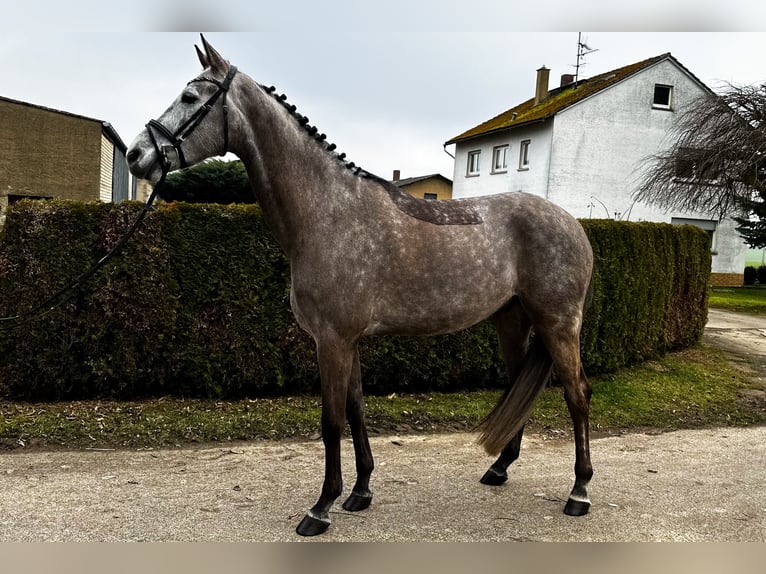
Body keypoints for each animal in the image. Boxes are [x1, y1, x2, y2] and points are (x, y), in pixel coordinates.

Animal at [126, 35, 595, 537]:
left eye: (189, 97)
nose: (136, 154)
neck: (327, 212)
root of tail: (573, 224)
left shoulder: (332, 340)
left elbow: (331, 421)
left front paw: (321, 507)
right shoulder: (347, 341)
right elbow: (355, 410)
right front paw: (360, 491)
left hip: (558, 324)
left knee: (577, 394)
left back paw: (579, 492)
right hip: (513, 322)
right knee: (519, 389)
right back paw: (499, 468)